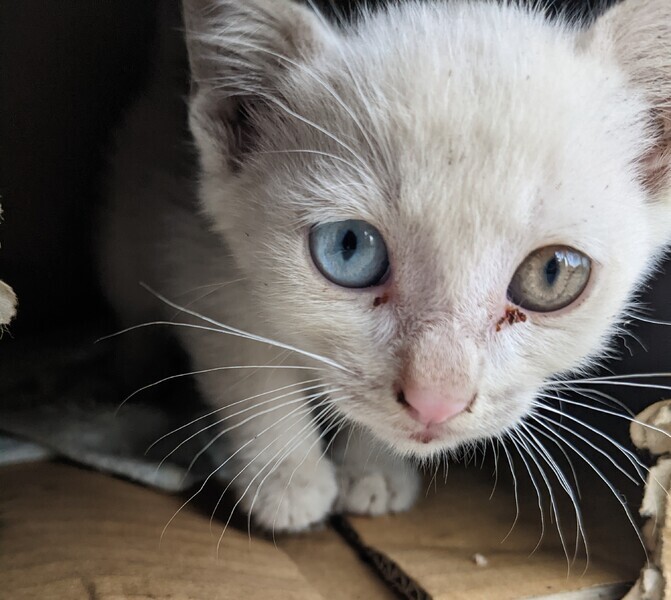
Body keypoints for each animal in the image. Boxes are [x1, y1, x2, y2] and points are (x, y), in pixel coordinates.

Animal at [99, 0, 671, 533]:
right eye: (349, 248)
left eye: (553, 273)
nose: (436, 402)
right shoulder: (192, 242)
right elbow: (245, 364)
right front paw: (289, 479)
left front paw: (373, 469)